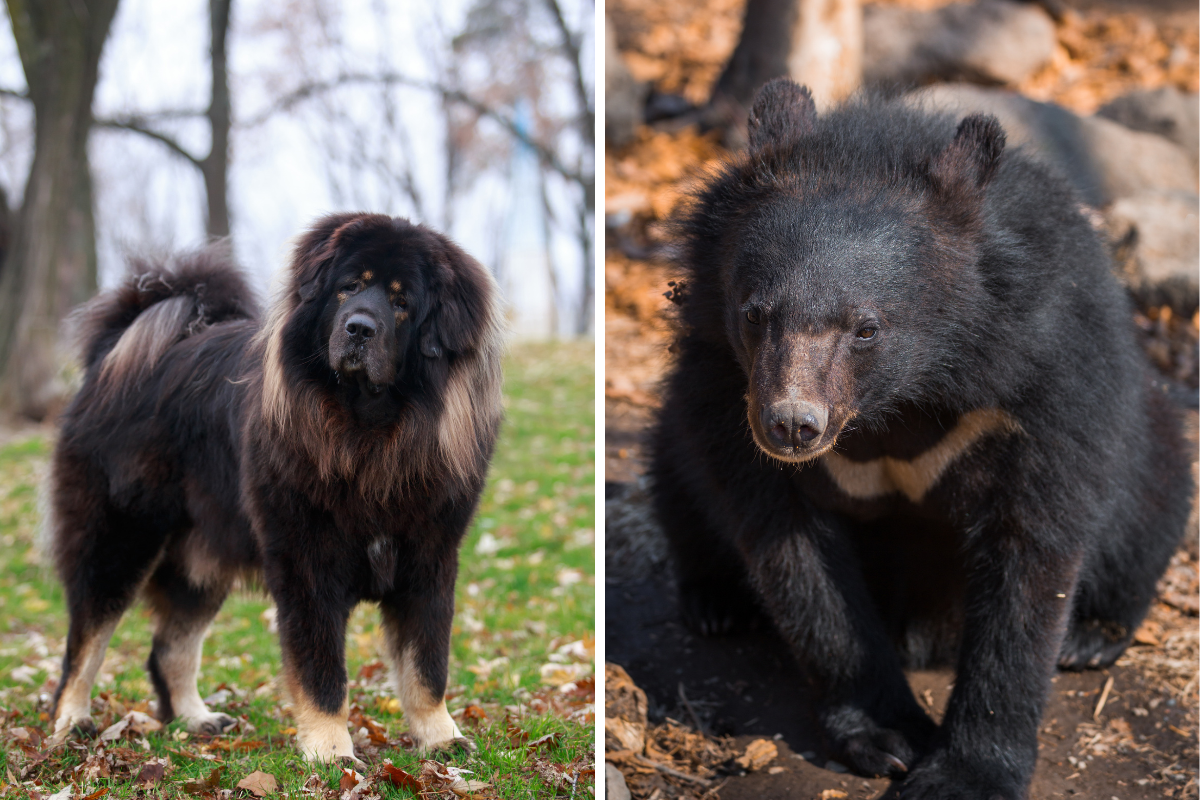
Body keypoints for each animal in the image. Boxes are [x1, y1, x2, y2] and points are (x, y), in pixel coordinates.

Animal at [46, 214, 504, 762]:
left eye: (402, 302)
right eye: (348, 287)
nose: (358, 327)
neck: (366, 433)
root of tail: (114, 354)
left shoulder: (429, 559)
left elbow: (427, 664)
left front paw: (441, 738)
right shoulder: (307, 565)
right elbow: (322, 671)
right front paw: (332, 750)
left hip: (199, 562)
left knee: (168, 649)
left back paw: (196, 718)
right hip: (120, 542)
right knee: (84, 644)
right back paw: (71, 722)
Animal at [648, 76, 1190, 800]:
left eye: (866, 328)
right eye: (755, 314)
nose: (790, 426)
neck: (902, 397)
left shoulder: (1045, 378)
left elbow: (1032, 550)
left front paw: (964, 773)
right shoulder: (720, 380)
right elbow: (794, 553)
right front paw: (889, 738)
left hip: (1149, 439)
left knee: (1150, 503)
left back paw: (1092, 636)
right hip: (678, 431)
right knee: (680, 488)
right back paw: (717, 602)